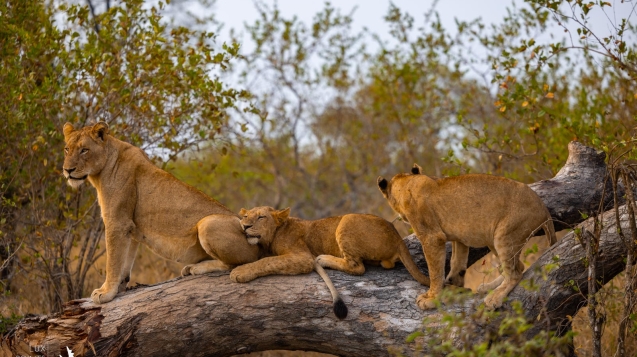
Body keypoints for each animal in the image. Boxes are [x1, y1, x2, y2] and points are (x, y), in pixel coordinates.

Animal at [62, 122, 260, 304]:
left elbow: (113, 260)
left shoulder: (117, 223)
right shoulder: (130, 226)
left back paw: (196, 268)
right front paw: (120, 286)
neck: (100, 172)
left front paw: (105, 293)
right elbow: (126, 260)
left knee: (236, 264)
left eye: (84, 150)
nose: (67, 170)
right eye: (67, 149)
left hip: (208, 224)